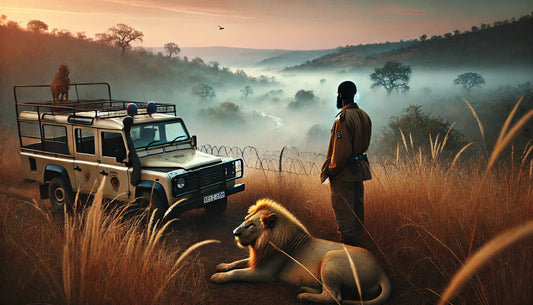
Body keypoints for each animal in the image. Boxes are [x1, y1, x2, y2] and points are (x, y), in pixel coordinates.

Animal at [211, 198, 390, 302]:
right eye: (245, 220)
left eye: (251, 225)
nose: (234, 233)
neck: (263, 244)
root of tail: (381, 271)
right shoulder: (259, 259)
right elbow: (238, 262)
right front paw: (223, 266)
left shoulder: (264, 273)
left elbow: (237, 272)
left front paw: (218, 276)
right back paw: (305, 288)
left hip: (330, 258)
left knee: (335, 297)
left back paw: (304, 296)